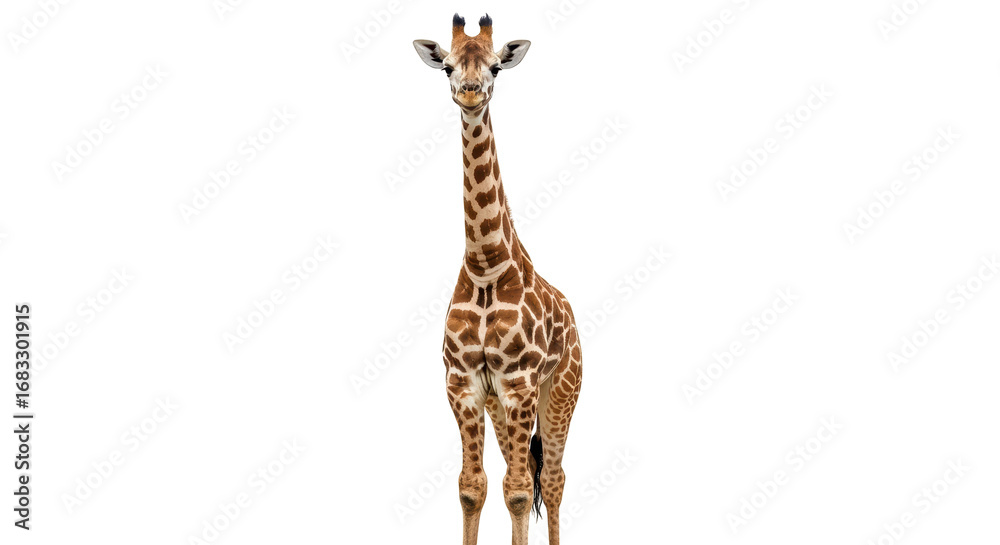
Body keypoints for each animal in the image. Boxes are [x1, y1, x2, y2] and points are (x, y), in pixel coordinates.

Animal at [413, 14, 583, 545]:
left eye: (495, 67)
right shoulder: (464, 384)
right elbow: (474, 487)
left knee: (553, 477)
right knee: (523, 472)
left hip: (561, 390)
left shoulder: (520, 383)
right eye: (448, 65)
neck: (486, 266)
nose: (470, 93)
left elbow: (518, 490)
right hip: (502, 406)